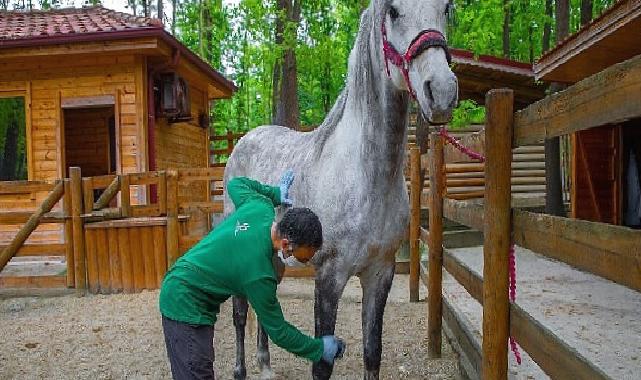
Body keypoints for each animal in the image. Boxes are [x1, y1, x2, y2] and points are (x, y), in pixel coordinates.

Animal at [222, 1, 458, 378]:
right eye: (393, 11)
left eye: (446, 8)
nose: (442, 91)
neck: (364, 177)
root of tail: (244, 141)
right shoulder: (329, 276)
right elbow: (322, 363)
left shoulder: (380, 273)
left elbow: (372, 352)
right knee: (240, 314)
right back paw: (241, 369)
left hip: (273, 258)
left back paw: (266, 365)